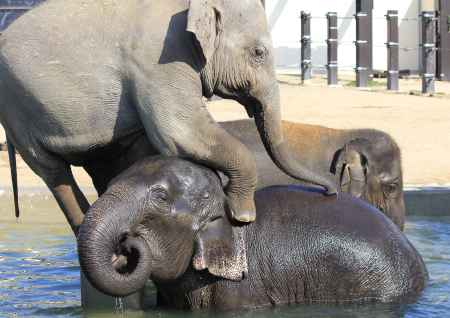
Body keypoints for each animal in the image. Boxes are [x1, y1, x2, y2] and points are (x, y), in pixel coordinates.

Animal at [0, 0, 334, 235]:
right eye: (258, 53)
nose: (330, 190)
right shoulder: (160, 60)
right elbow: (181, 132)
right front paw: (242, 216)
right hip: (16, 108)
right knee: (53, 171)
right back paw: (83, 226)